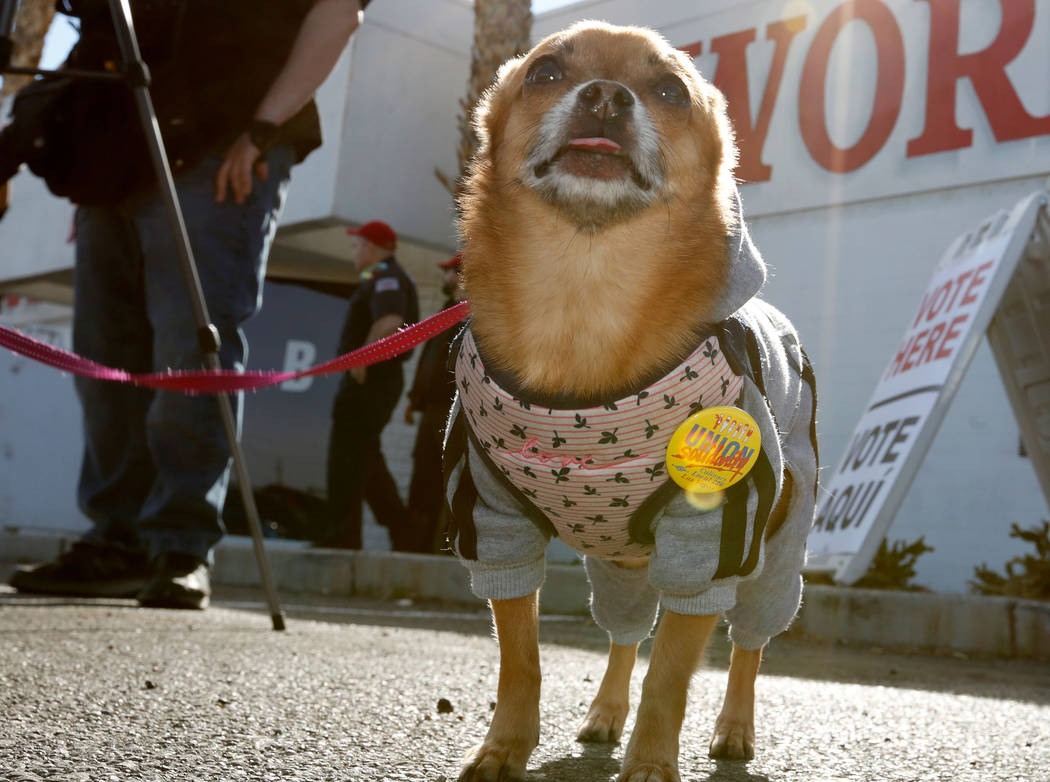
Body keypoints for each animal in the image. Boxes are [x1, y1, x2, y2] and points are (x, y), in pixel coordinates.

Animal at [443, 19, 818, 780]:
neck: (584, 296)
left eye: (670, 91)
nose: (607, 97)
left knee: (750, 644)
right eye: (546, 72)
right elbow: (521, 661)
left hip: (777, 553)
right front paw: (504, 748)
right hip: (614, 566)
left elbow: (670, 677)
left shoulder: (709, 541)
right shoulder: (496, 526)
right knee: (623, 636)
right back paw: (603, 715)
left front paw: (649, 762)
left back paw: (735, 730)